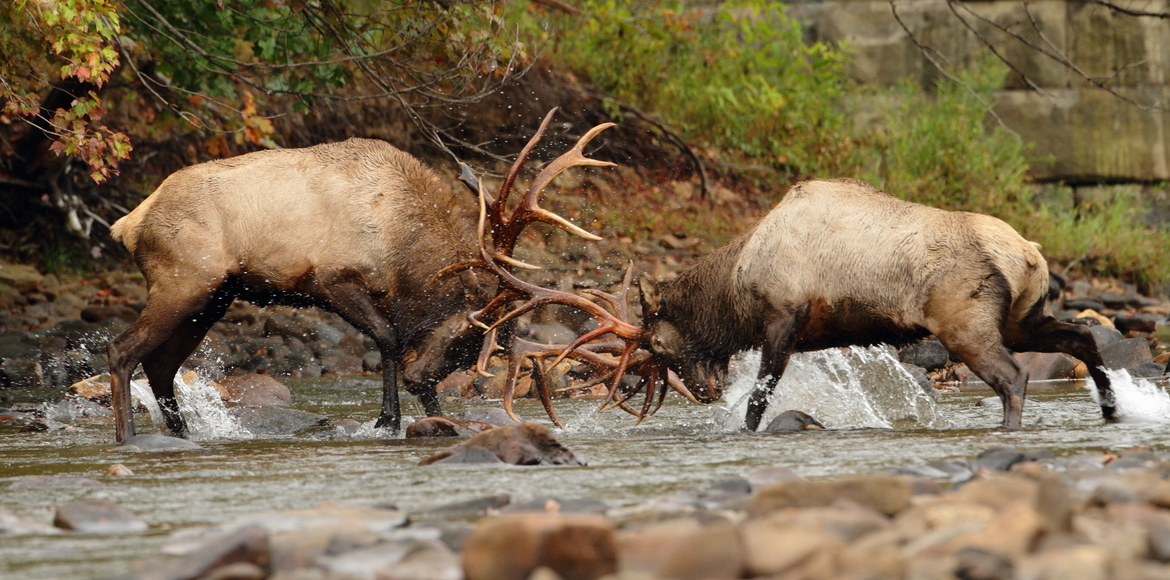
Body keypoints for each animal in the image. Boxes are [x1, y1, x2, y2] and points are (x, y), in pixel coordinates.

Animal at [106, 108, 615, 443]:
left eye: (473, 350)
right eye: (471, 337)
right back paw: (128, 437)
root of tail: (128, 223)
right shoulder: (332, 278)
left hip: (215, 296)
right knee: (122, 348)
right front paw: (388, 418)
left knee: (161, 366)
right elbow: (388, 337)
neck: (403, 246)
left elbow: (392, 340)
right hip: (185, 281)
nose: (420, 379)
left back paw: (181, 434)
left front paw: (423, 417)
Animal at [630, 178, 1118, 431]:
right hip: (1021, 320)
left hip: (965, 322)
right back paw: (1111, 410)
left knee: (1014, 376)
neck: (734, 294)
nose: (703, 392)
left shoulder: (784, 316)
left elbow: (760, 394)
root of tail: (1028, 253)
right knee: (1081, 335)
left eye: (656, 343)